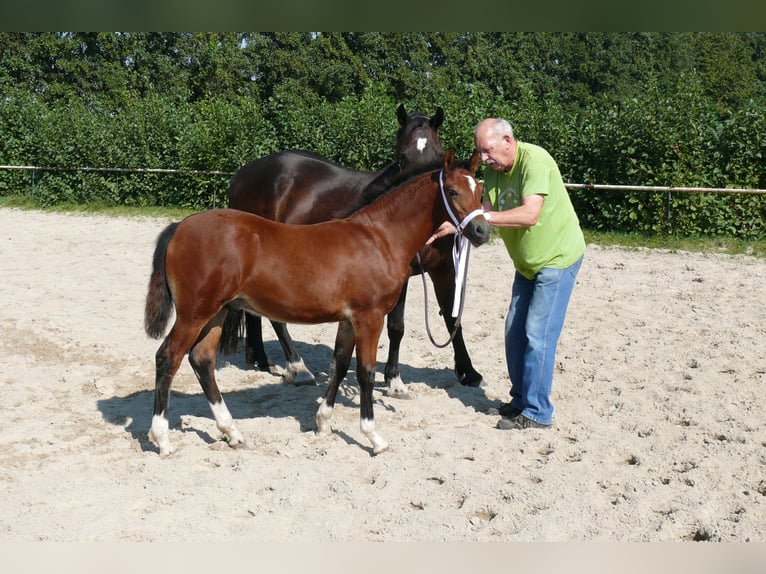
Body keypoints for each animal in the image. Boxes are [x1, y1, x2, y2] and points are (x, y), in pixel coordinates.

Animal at [144, 150, 492, 460]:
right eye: (453, 191)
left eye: (480, 191)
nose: (482, 231)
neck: (378, 237)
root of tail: (179, 228)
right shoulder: (369, 317)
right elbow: (365, 372)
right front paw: (374, 437)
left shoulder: (348, 320)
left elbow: (339, 363)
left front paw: (323, 422)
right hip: (195, 314)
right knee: (168, 357)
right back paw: (162, 440)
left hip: (216, 313)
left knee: (202, 359)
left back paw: (232, 432)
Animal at [225, 104, 484, 396]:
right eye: (401, 158)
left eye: (438, 155)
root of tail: (243, 174)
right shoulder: (402, 275)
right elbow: (396, 326)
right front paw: (393, 379)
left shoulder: (444, 269)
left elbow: (452, 317)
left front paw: (469, 372)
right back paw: (297, 367)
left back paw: (259, 358)